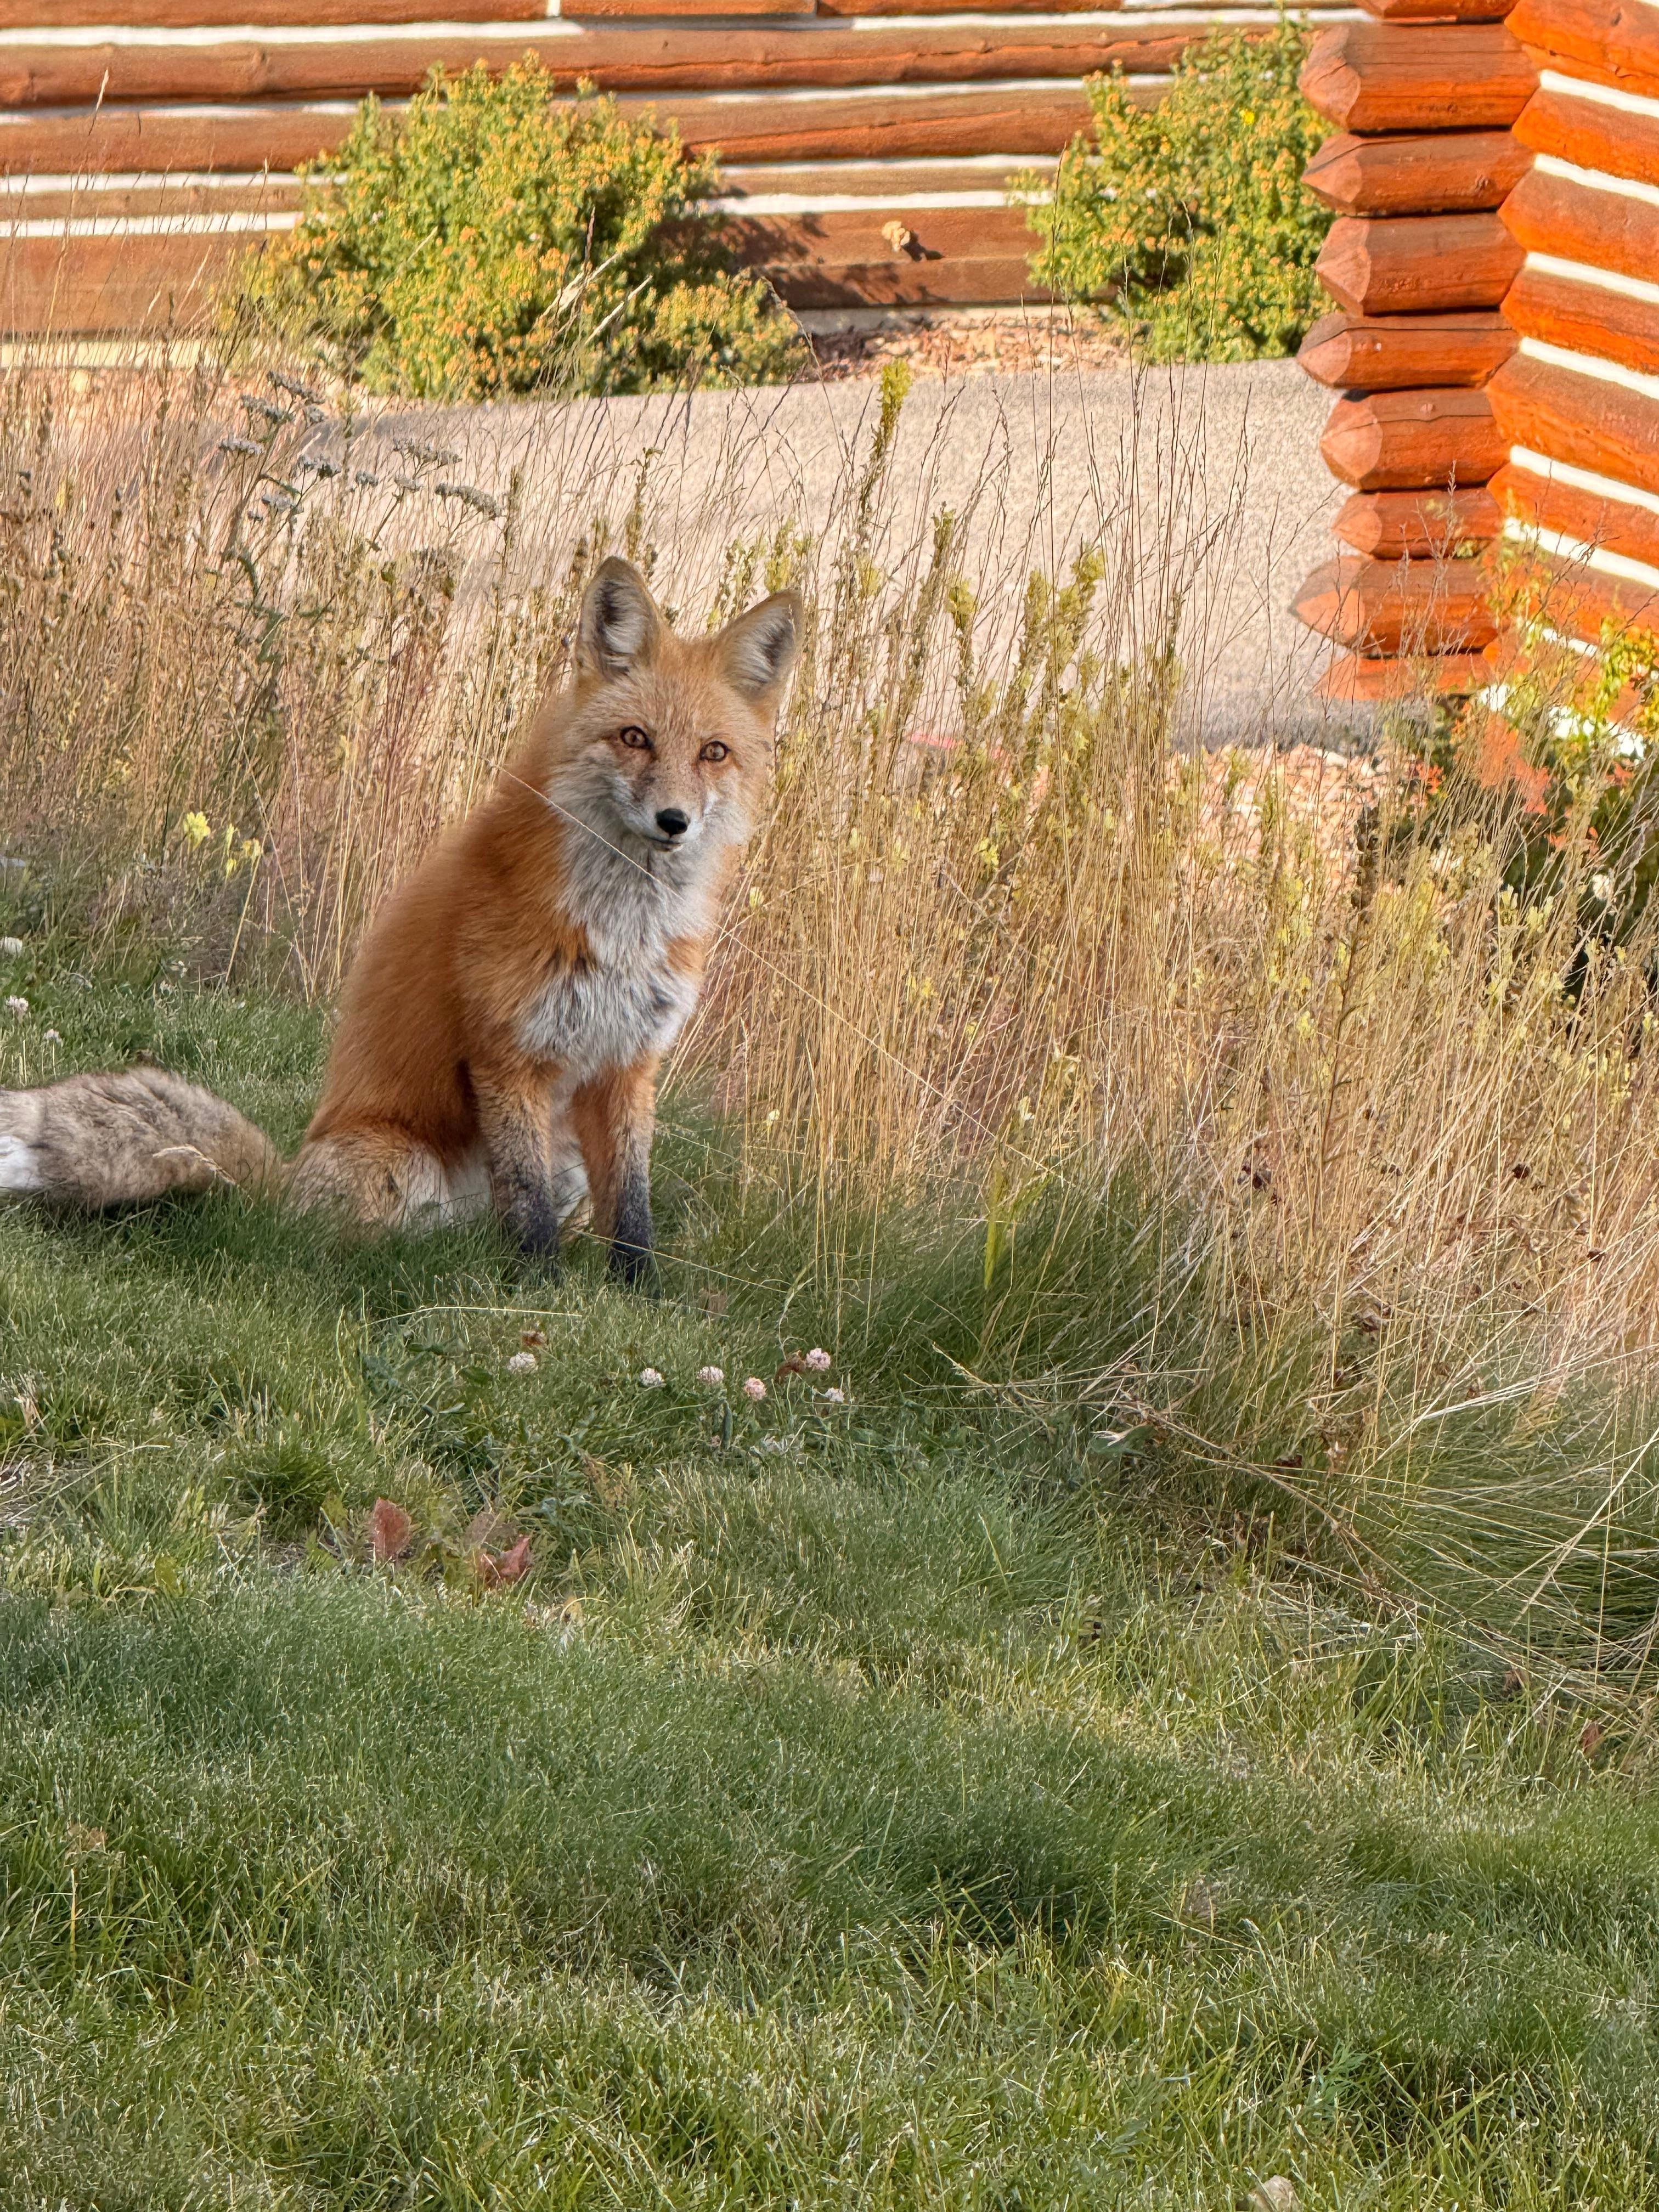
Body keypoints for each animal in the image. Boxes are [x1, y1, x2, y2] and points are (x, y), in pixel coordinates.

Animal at [0, 557, 803, 1280]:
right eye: (636, 738)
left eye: (714, 753)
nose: (674, 823)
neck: (621, 929)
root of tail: (281, 1188)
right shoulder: (508, 1052)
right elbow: (528, 1208)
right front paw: (539, 1294)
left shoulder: (629, 1064)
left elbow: (633, 1211)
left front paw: (637, 1297)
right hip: (399, 1170)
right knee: (349, 1245)